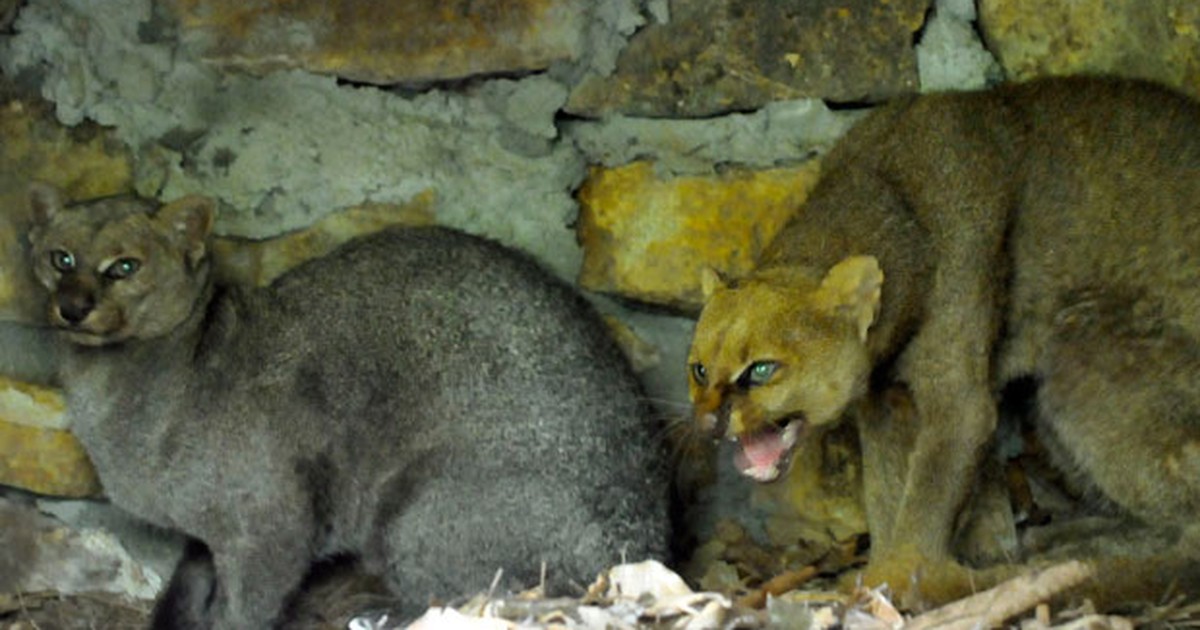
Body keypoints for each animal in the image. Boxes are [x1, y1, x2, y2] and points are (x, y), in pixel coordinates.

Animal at [25, 182, 676, 628]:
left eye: (124, 266)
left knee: (468, 596)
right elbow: (187, 589)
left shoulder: (270, 520)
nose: (73, 306)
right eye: (60, 258)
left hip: (414, 517)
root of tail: (649, 545)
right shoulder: (209, 540)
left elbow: (246, 608)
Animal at [691, 76, 1200, 607]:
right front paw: (881, 570)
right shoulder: (883, 400)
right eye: (699, 369)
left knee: (1191, 543)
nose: (707, 422)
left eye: (761, 369)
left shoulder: (958, 399)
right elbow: (886, 492)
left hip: (1079, 347)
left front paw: (897, 577)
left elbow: (927, 495)